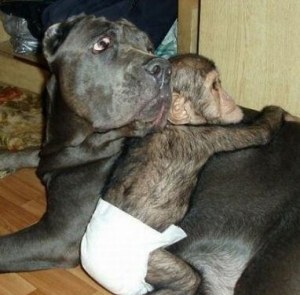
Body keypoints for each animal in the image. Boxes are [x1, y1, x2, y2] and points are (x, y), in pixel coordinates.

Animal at [0, 15, 300, 295]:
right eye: (102, 43)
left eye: (149, 46)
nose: (162, 67)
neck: (74, 142)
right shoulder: (51, 155)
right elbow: (30, 153)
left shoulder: (57, 237)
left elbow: (6, 248)